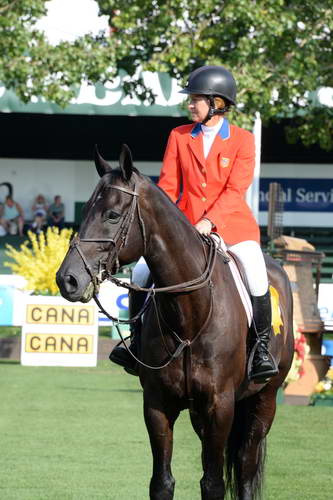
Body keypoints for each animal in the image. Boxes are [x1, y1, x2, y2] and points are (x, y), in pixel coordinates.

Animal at [56, 145, 294, 500]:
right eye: (84, 210)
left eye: (112, 215)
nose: (67, 279)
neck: (190, 315)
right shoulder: (158, 404)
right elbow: (162, 483)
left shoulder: (220, 406)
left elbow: (213, 484)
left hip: (264, 400)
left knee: (246, 465)